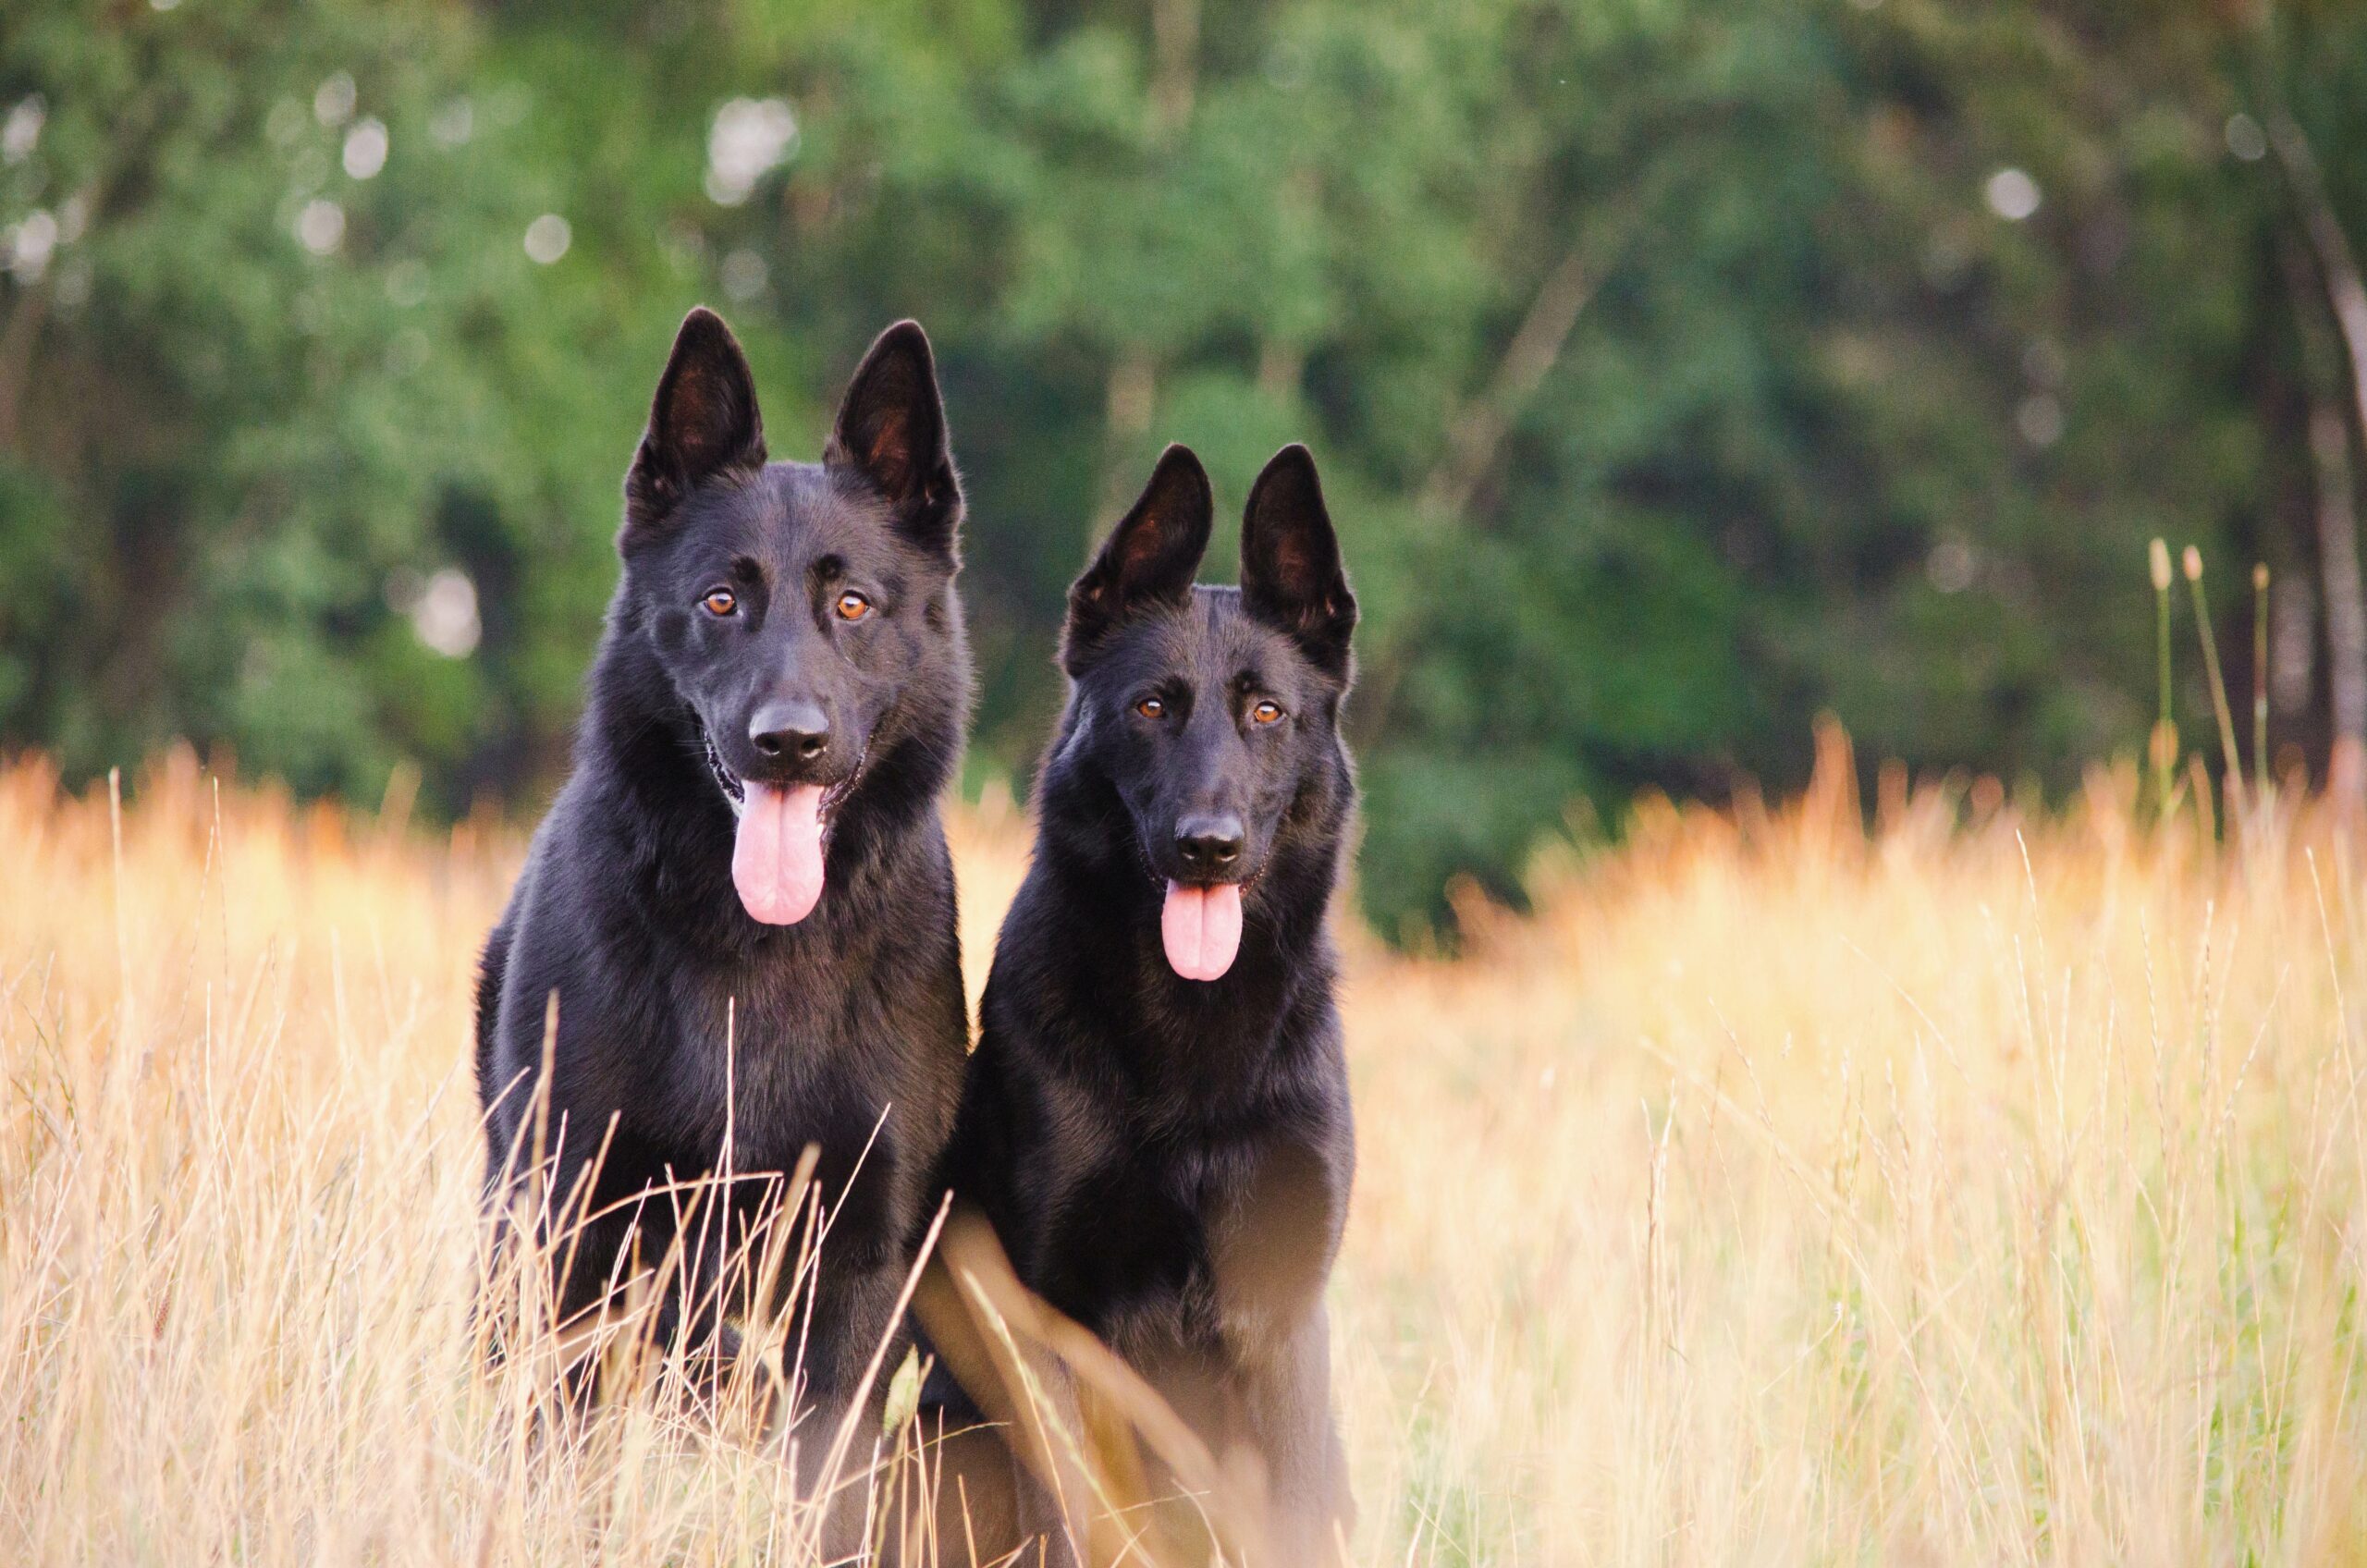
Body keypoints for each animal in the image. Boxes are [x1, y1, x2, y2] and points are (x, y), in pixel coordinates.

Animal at [478, 310, 970, 1477]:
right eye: (720, 601)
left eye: (851, 604)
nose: (787, 741)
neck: (761, 956)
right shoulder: (574, 1224)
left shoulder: (862, 1262)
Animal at [932, 437, 1363, 1562]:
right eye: (1151, 708)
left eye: (1267, 712)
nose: (1206, 846)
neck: (1190, 1046)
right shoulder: (1061, 1323)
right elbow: (1081, 1513)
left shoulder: (1280, 1320)